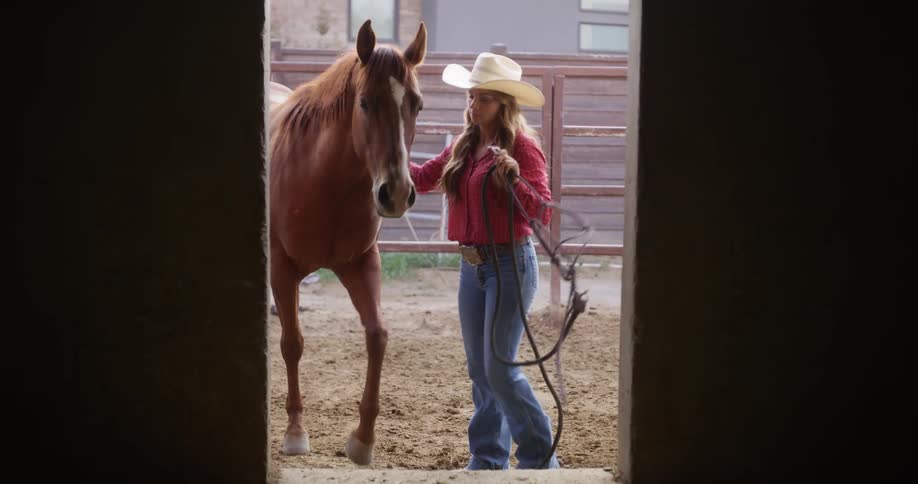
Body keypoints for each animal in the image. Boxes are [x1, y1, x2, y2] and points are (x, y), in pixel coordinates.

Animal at [268, 20, 427, 465]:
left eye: (417, 104)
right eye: (365, 103)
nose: (395, 192)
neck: (326, 181)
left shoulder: (361, 263)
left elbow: (377, 335)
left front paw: (363, 438)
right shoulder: (282, 267)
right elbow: (292, 343)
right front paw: (295, 432)